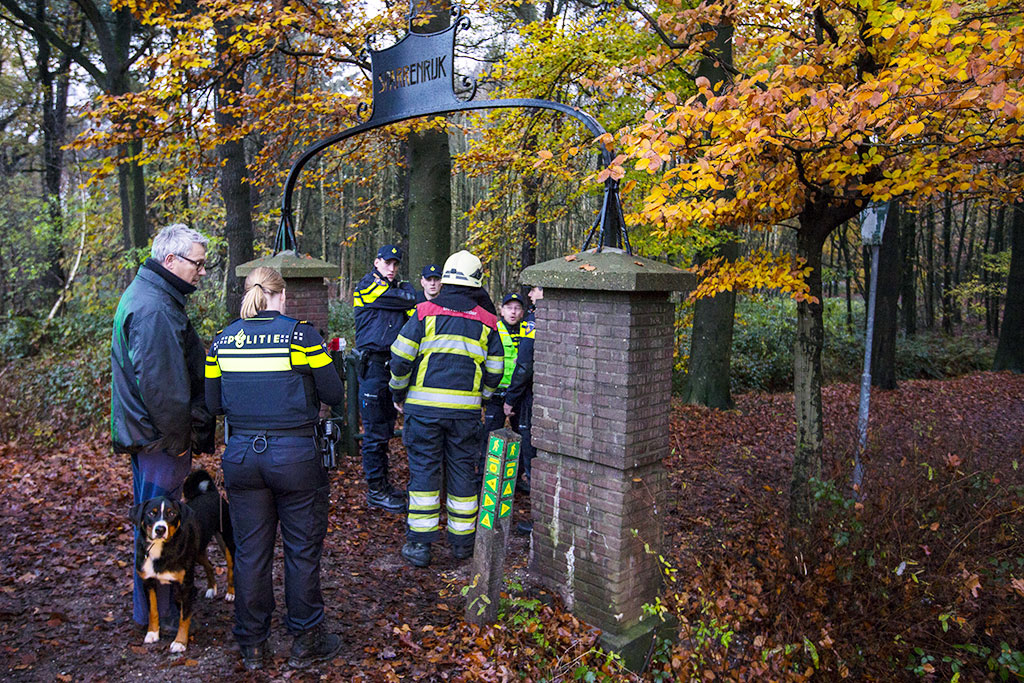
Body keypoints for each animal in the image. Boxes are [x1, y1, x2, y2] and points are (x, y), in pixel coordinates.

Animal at [132, 471, 234, 651]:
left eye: (171, 513)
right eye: (151, 513)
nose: (160, 529)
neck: (161, 550)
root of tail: (211, 492)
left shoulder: (186, 585)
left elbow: (184, 617)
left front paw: (180, 642)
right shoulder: (148, 582)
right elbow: (153, 611)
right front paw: (152, 633)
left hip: (226, 539)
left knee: (232, 566)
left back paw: (230, 592)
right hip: (197, 551)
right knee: (209, 565)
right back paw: (211, 588)